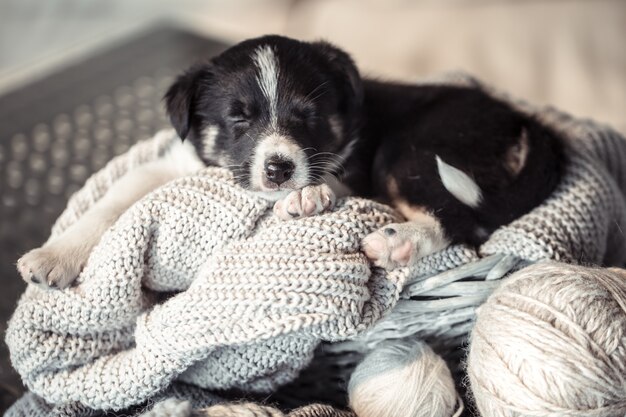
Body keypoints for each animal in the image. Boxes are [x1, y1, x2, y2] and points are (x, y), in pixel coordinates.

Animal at [17, 35, 560, 290]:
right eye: (238, 118)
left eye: (307, 116)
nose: (279, 169)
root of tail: (521, 120)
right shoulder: (167, 167)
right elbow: (111, 205)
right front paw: (51, 258)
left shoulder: (352, 160)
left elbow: (331, 178)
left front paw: (306, 197)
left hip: (413, 150)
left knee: (460, 219)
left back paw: (397, 242)